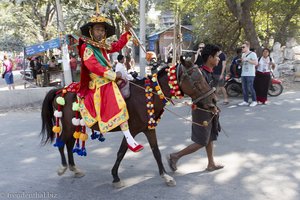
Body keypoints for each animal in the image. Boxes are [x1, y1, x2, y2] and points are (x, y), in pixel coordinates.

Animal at [39, 56, 217, 188]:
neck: (147, 95)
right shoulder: (131, 130)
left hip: (73, 125)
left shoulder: (148, 129)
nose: (213, 102)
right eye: (197, 81)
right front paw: (116, 177)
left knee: (68, 144)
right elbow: (121, 152)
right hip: (69, 125)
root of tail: (60, 90)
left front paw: (165, 176)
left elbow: (155, 152)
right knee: (62, 143)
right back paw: (63, 168)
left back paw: (74, 169)